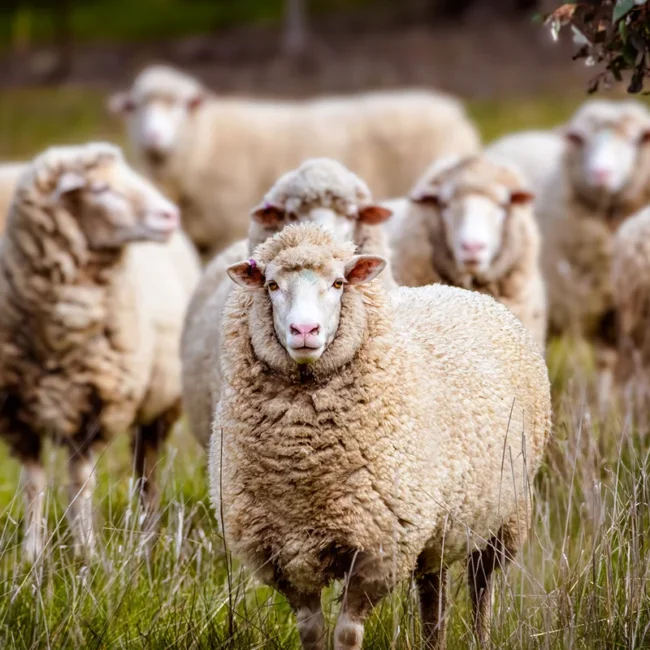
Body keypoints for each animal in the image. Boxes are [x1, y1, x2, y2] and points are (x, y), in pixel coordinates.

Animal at [0, 142, 201, 561]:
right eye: (99, 189)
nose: (169, 215)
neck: (57, 335)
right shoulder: (15, 411)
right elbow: (33, 482)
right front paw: (32, 554)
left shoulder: (95, 407)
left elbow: (80, 484)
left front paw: (88, 554)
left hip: (158, 406)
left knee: (147, 472)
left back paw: (147, 536)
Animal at [108, 64, 480, 258]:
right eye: (136, 108)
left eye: (182, 106)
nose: (153, 136)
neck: (205, 140)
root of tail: (454, 111)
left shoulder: (222, 228)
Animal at [209, 223, 551, 650]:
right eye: (271, 285)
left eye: (338, 283)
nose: (304, 330)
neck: (304, 463)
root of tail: (460, 291)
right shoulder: (285, 553)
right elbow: (311, 631)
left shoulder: (378, 549)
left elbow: (347, 633)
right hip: (436, 525)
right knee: (433, 592)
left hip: (503, 515)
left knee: (481, 587)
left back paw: (480, 638)